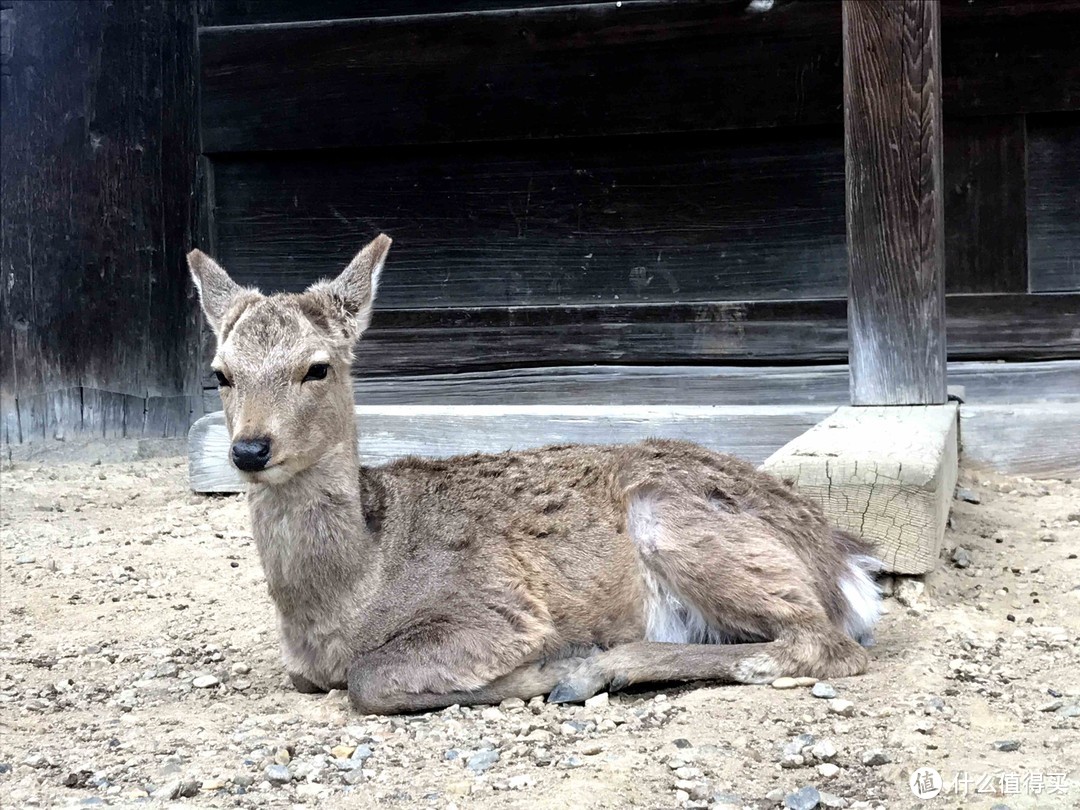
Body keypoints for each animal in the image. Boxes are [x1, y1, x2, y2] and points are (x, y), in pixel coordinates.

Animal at [185, 234, 881, 717]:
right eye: (221, 373)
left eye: (317, 367)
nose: (250, 449)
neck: (349, 596)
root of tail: (845, 561)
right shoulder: (302, 667)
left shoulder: (499, 608)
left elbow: (372, 678)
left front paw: (545, 670)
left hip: (671, 516)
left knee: (823, 644)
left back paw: (592, 670)